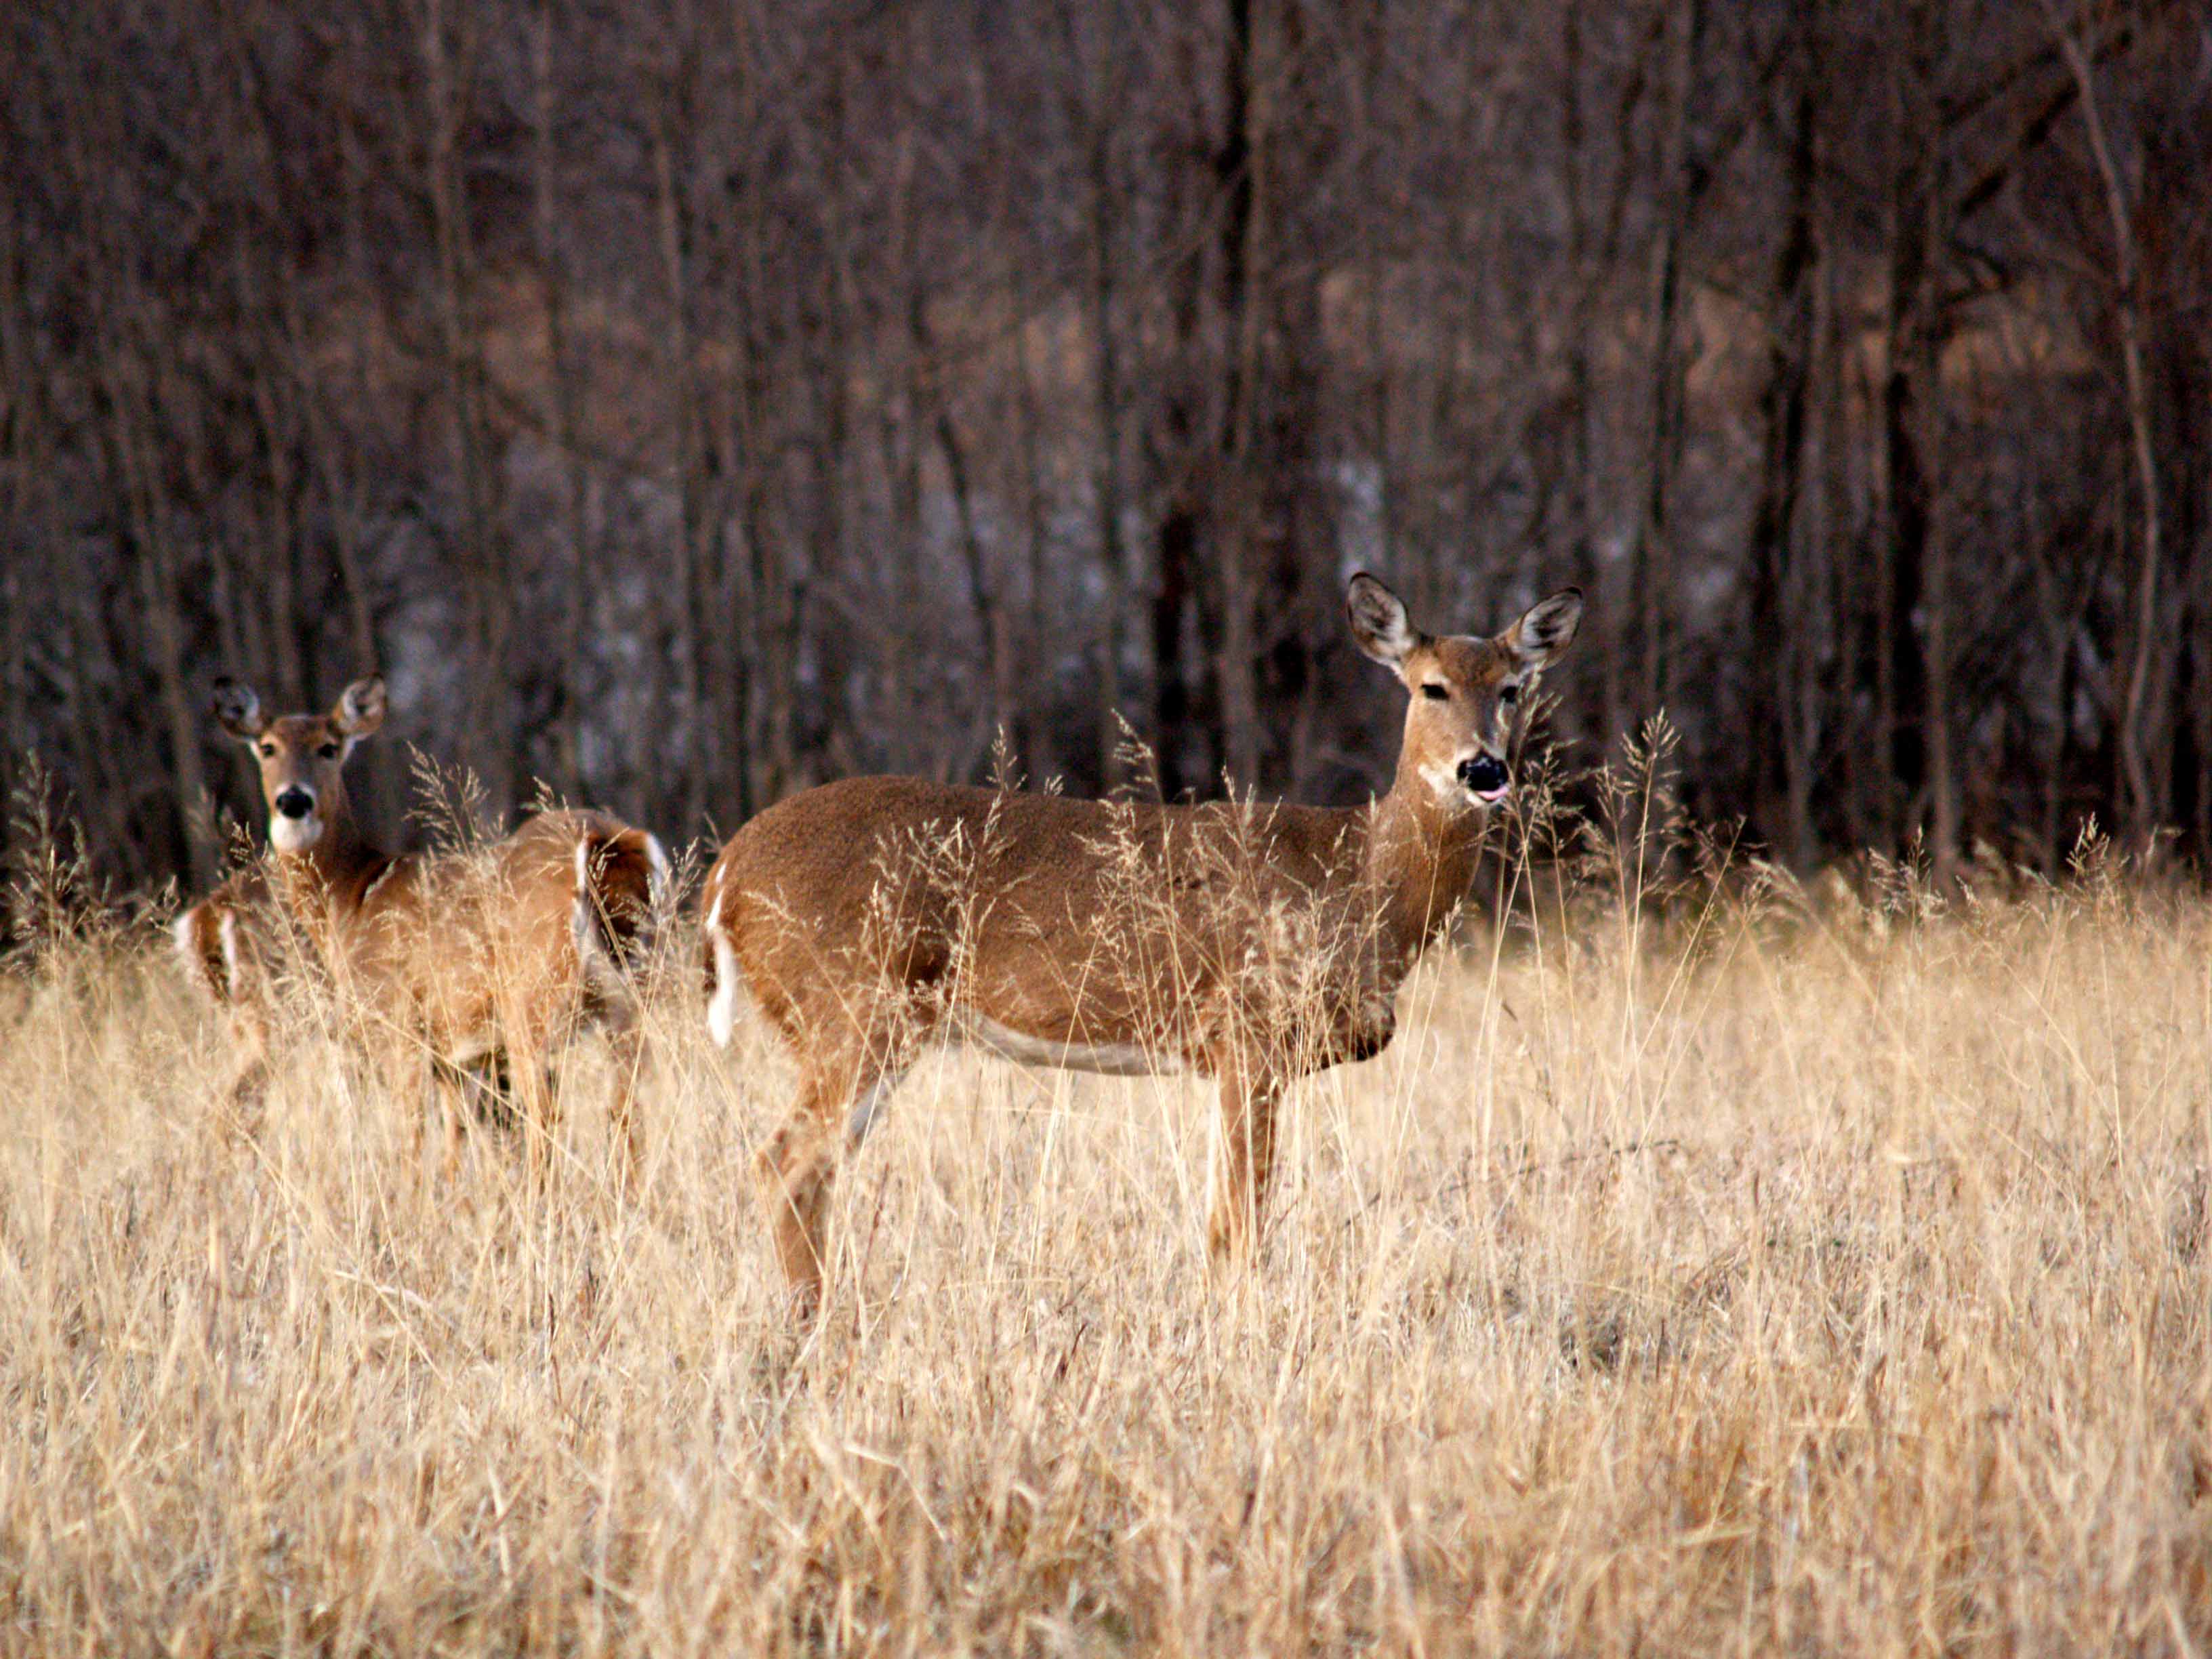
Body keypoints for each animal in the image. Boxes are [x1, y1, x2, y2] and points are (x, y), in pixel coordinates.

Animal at [174, 676, 663, 1185]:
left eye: (329, 747)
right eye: (267, 747)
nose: (294, 800)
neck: (351, 898)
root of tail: (603, 841)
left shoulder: (395, 1022)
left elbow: (410, 1136)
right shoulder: (453, 1053)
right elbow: (453, 1142)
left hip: (527, 998)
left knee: (547, 1117)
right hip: (631, 995)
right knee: (627, 1111)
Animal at [699, 579, 1584, 1318]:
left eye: (1511, 689)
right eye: (1430, 687)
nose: (1483, 769)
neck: (1361, 879)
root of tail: (726, 875)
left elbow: (1226, 1218)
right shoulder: (1249, 1032)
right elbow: (1240, 1221)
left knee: (811, 1171)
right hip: (852, 1005)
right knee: (784, 1162)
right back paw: (816, 1330)